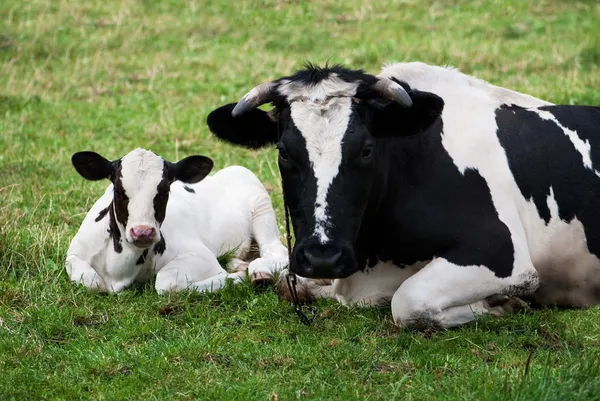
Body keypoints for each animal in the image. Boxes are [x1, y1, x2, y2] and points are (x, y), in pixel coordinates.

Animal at [65, 148, 288, 292]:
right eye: (118, 191)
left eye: (164, 191)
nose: (143, 232)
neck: (118, 270)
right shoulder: (74, 254)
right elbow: (92, 283)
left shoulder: (201, 256)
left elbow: (165, 283)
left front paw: (233, 278)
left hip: (261, 206)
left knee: (277, 252)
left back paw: (258, 271)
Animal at [205, 61, 600, 328]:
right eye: (284, 152)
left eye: (366, 149)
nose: (322, 257)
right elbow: (289, 286)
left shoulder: (503, 254)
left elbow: (408, 302)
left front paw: (502, 303)